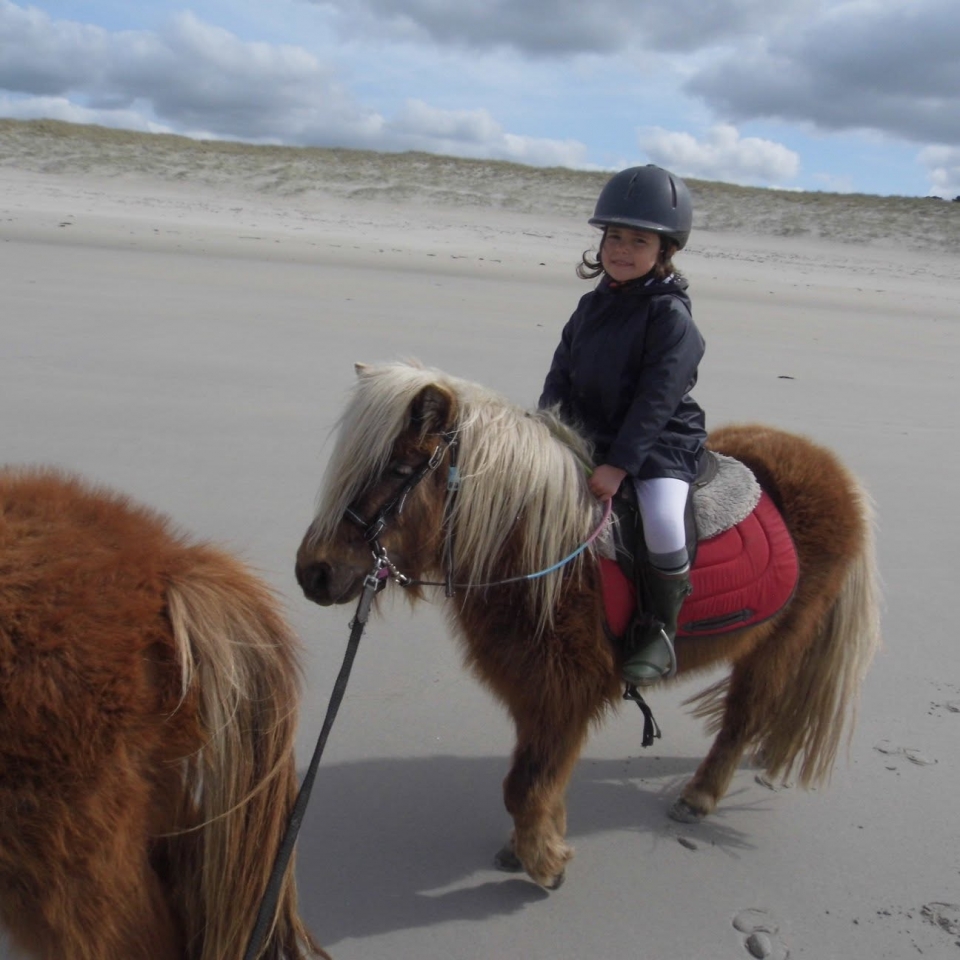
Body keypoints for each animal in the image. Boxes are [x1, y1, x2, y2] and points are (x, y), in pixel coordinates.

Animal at [295, 360, 881, 891]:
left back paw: (699, 796)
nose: (312, 572)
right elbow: (536, 779)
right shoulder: (535, 693)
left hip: (780, 638)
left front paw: (545, 863)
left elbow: (525, 786)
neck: (542, 553)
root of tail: (829, 466)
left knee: (744, 714)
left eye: (398, 470)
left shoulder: (565, 694)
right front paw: (534, 844)